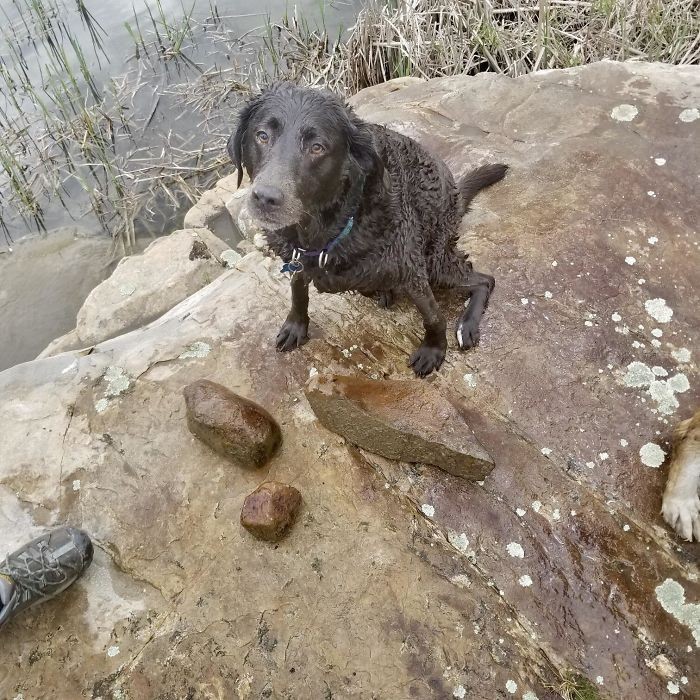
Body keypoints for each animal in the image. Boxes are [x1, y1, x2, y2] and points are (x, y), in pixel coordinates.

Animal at [227, 82, 506, 378]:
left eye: (317, 147)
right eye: (261, 135)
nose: (266, 198)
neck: (327, 233)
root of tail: (455, 193)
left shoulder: (411, 269)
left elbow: (432, 316)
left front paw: (433, 350)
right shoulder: (297, 258)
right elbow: (297, 290)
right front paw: (296, 325)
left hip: (435, 261)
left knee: (485, 280)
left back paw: (467, 325)